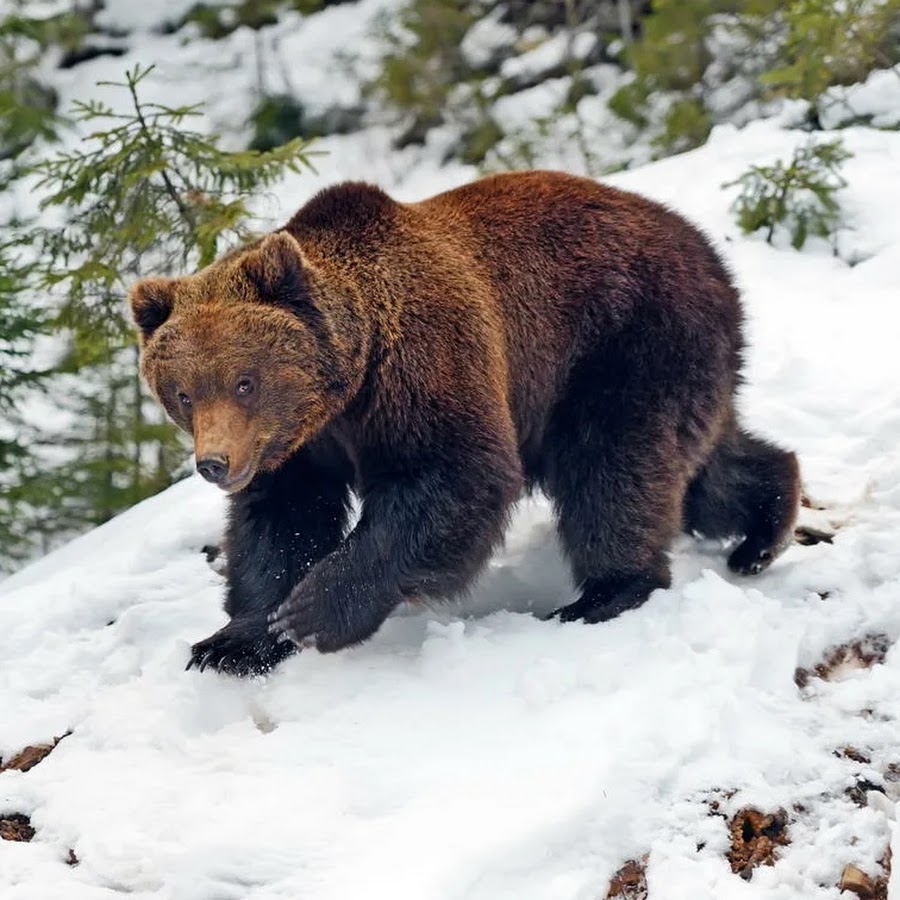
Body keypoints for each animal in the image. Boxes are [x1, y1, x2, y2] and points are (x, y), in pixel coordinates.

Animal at [128, 169, 800, 676]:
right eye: (182, 393)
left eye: (245, 381)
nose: (215, 464)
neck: (347, 386)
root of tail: (710, 251)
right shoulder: (299, 448)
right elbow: (281, 522)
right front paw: (234, 641)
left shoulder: (425, 368)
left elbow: (456, 477)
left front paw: (315, 609)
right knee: (703, 470)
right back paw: (764, 527)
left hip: (623, 342)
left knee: (613, 470)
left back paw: (607, 592)